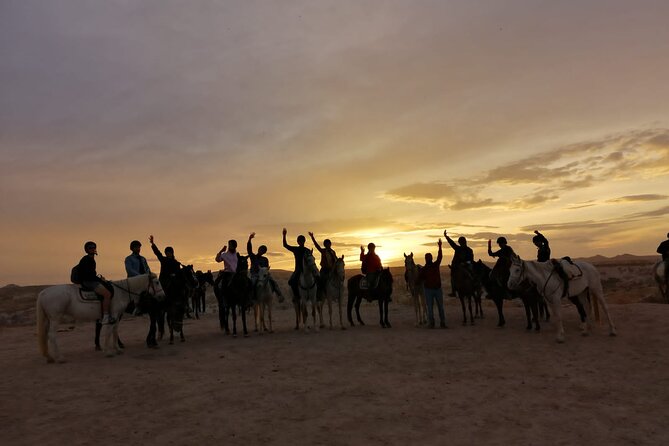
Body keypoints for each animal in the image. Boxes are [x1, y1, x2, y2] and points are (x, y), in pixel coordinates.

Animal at [36, 273, 165, 362]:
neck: (120, 292)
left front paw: (117, 349)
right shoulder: (113, 316)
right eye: (157, 282)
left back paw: (49, 357)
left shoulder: (117, 317)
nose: (162, 296)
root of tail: (43, 293)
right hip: (55, 319)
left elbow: (114, 331)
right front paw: (108, 352)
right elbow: (108, 332)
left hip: (48, 319)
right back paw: (59, 358)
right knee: (52, 336)